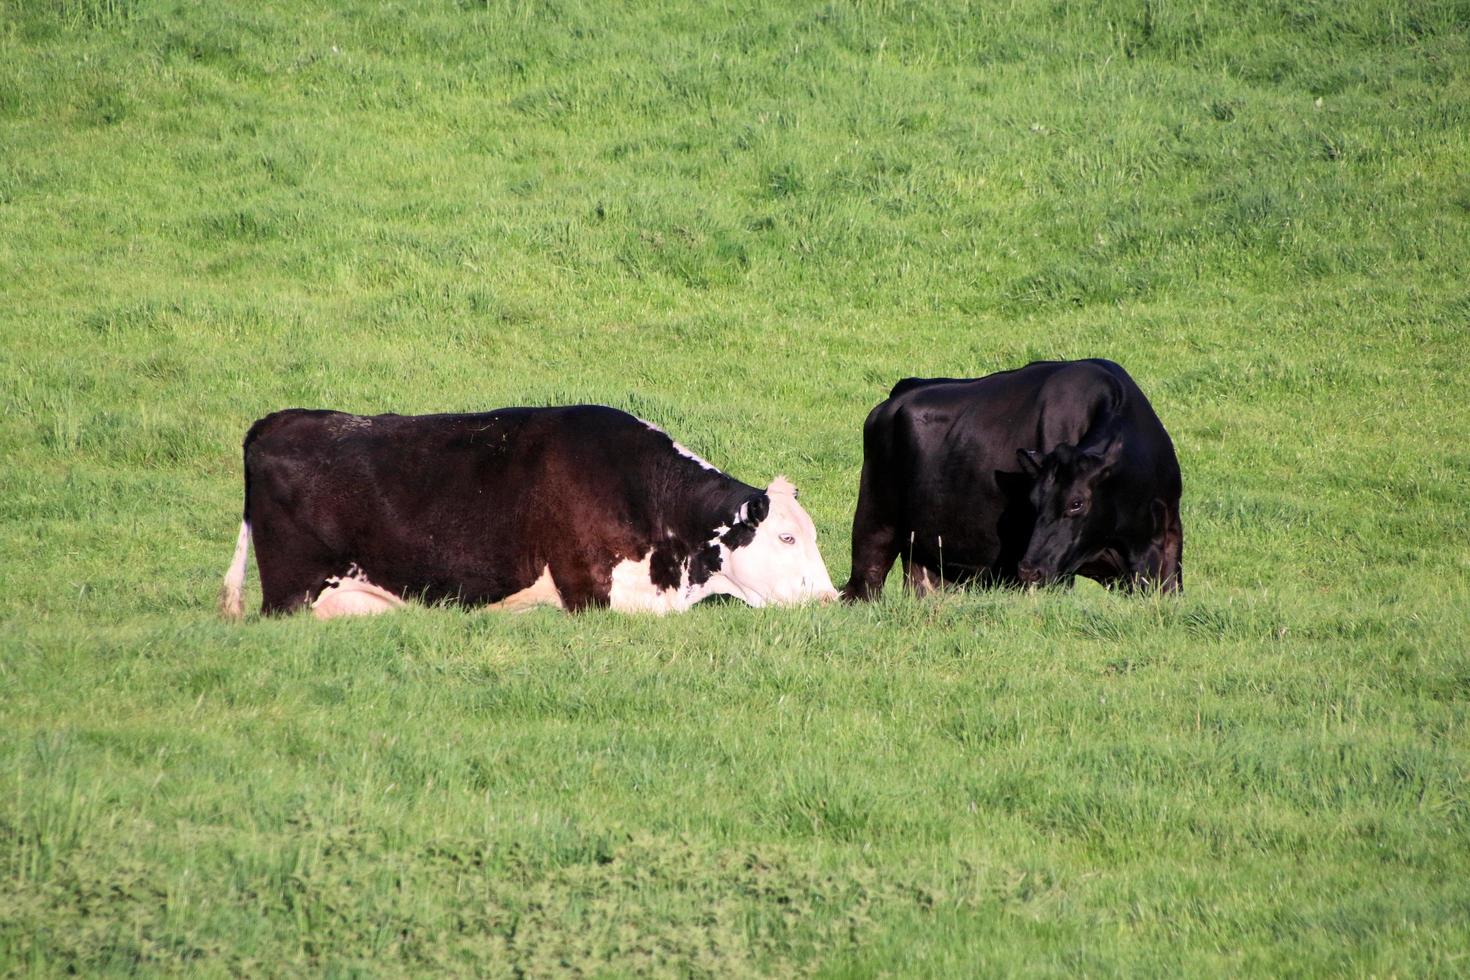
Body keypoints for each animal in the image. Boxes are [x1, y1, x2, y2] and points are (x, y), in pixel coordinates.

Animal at [846, 359, 1176, 599]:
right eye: (1032, 502)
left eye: (1076, 503)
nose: (1029, 569)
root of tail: (902, 391)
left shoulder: (1169, 543)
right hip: (874, 524)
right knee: (862, 587)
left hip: (928, 552)